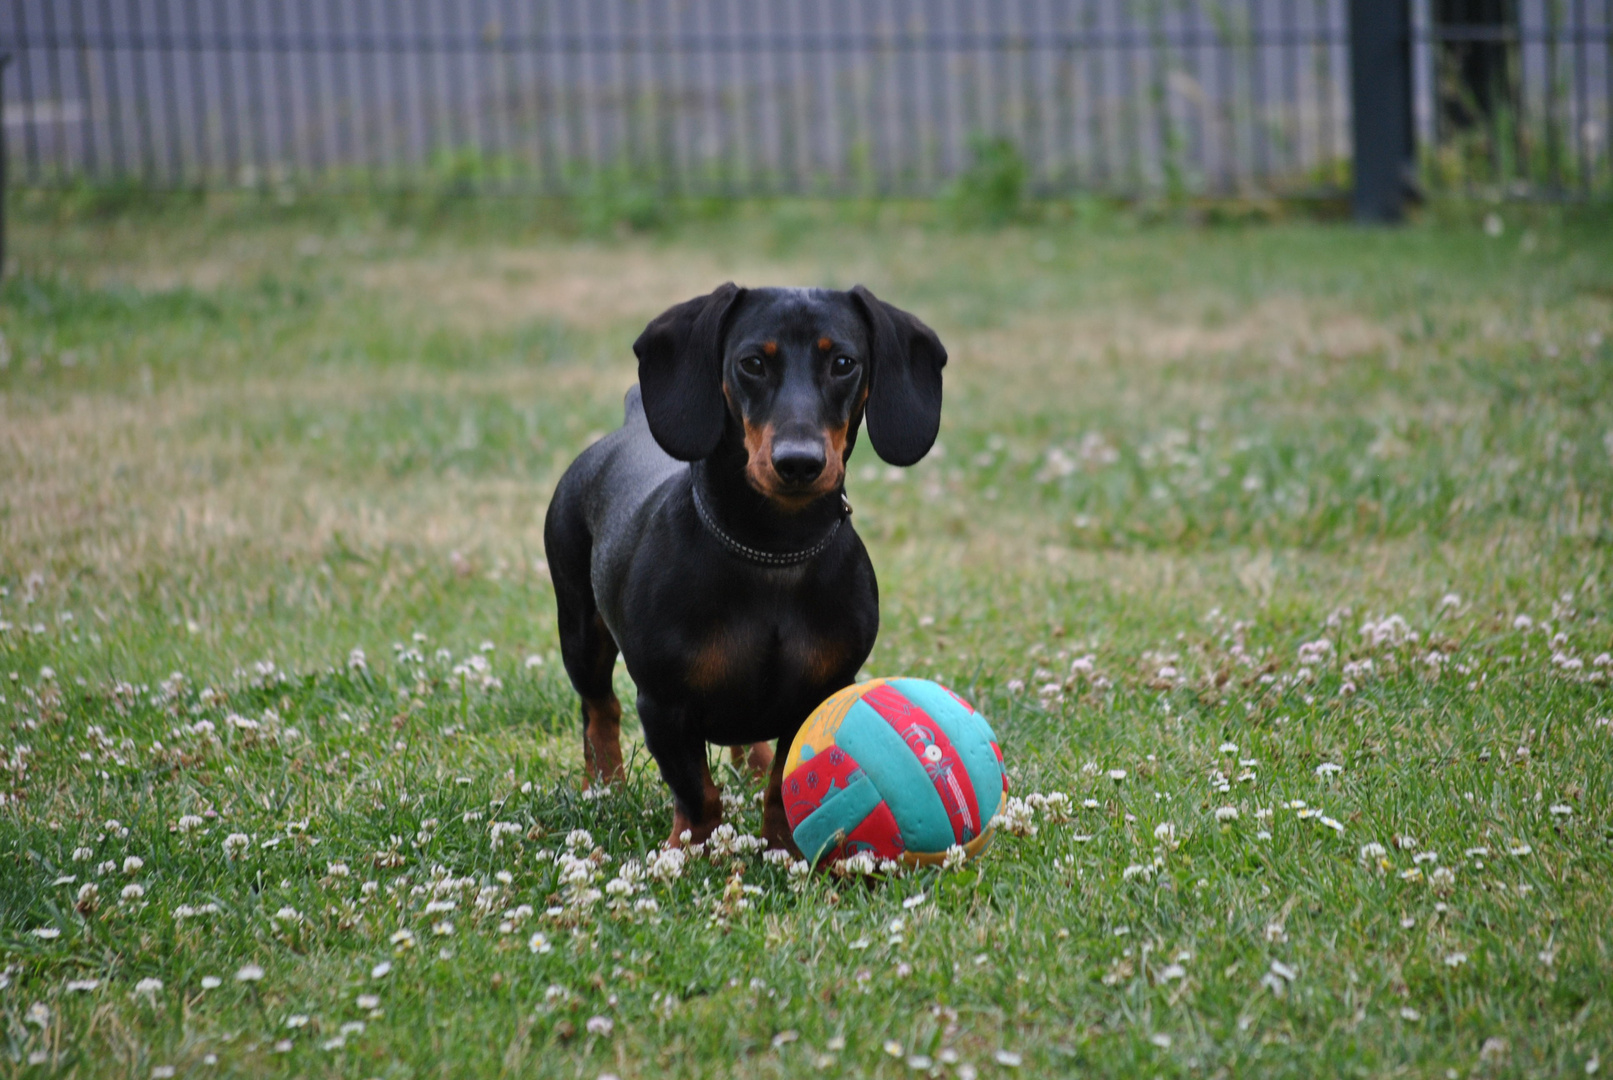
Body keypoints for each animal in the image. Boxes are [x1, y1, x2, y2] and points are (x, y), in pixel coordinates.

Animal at [545, 286, 941, 857]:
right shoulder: (663, 705)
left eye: (844, 363)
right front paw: (690, 848)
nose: (798, 462)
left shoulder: (820, 694)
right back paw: (605, 785)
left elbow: (782, 781)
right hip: (581, 629)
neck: (771, 552)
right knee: (599, 709)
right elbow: (695, 790)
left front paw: (785, 849)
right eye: (752, 362)